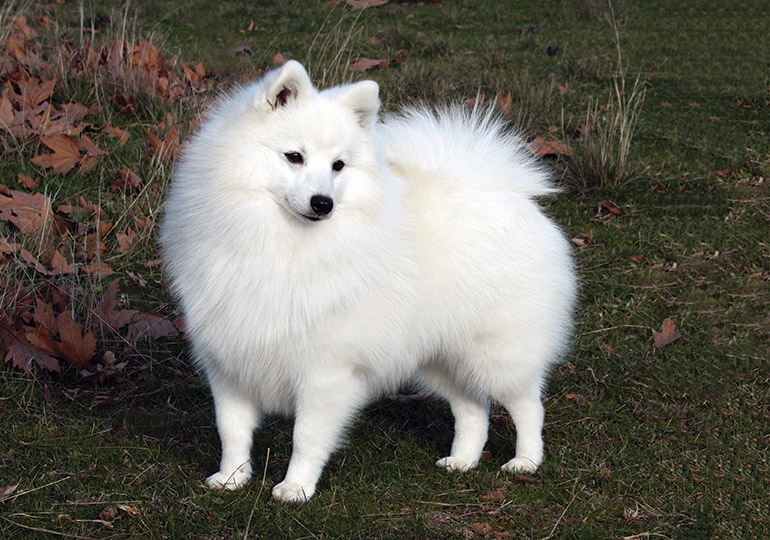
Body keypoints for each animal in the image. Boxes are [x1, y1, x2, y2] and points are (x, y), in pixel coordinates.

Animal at [158, 61, 576, 504]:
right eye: (294, 157)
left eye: (338, 165)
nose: (323, 203)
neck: (278, 242)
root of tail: (507, 192)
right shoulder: (229, 360)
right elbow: (232, 430)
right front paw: (232, 478)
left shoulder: (325, 371)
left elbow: (306, 437)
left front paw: (296, 488)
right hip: (441, 355)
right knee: (473, 408)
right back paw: (462, 460)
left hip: (498, 352)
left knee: (528, 405)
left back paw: (525, 462)